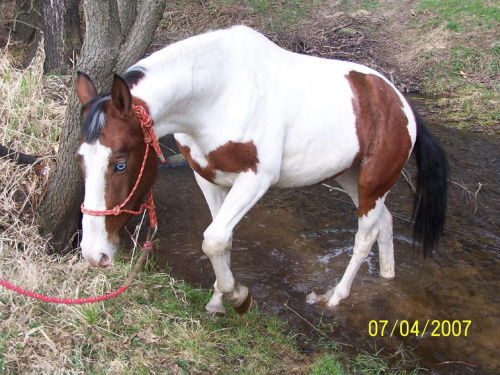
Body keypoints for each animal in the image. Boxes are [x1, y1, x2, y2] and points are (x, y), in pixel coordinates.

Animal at [75, 25, 450, 316]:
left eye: (120, 163)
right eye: (81, 160)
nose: (95, 254)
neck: (218, 93)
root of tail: (400, 102)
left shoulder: (255, 180)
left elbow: (213, 239)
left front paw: (239, 297)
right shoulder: (207, 178)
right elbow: (221, 239)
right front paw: (218, 299)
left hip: (373, 181)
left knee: (364, 236)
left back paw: (334, 297)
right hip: (351, 178)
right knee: (384, 223)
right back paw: (386, 278)